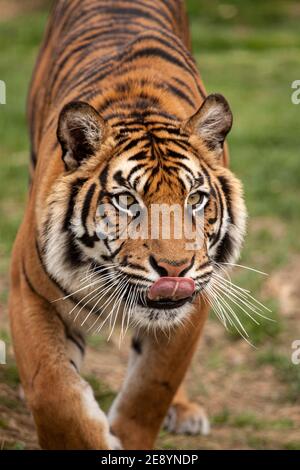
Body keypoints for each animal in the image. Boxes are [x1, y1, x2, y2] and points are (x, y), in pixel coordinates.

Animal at [8, 0, 246, 450]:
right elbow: (54, 392)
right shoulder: (30, 292)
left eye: (195, 199)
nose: (175, 271)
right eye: (126, 201)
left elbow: (150, 389)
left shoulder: (196, 301)